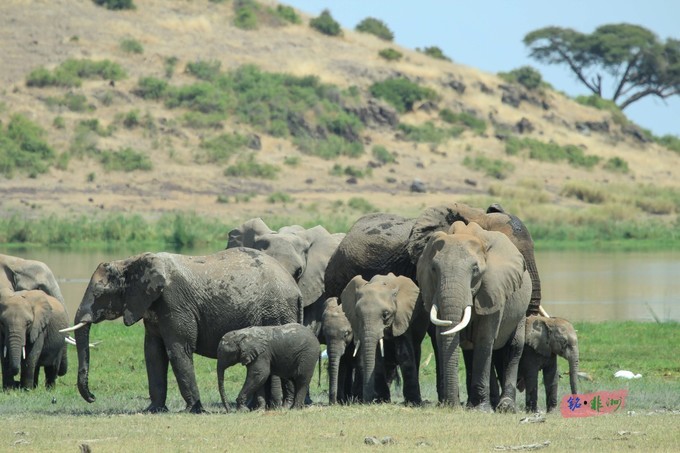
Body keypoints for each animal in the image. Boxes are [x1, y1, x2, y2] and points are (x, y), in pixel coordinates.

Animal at [65, 247, 302, 414]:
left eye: (99, 293)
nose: (93, 397)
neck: (130, 262)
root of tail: (296, 288)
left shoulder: (174, 302)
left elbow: (178, 349)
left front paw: (193, 410)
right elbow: (153, 353)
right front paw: (153, 410)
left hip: (277, 311)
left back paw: (277, 406)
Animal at [340, 272, 424, 402]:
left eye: (385, 315)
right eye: (357, 315)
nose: (367, 400)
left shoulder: (402, 318)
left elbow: (404, 353)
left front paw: (413, 402)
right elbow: (377, 357)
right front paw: (381, 400)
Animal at [414, 221, 532, 412]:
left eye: (475, 269)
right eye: (433, 269)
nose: (453, 406)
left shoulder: (494, 289)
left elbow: (484, 338)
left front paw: (482, 410)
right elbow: (443, 336)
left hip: (521, 308)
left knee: (513, 347)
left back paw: (505, 407)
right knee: (471, 349)